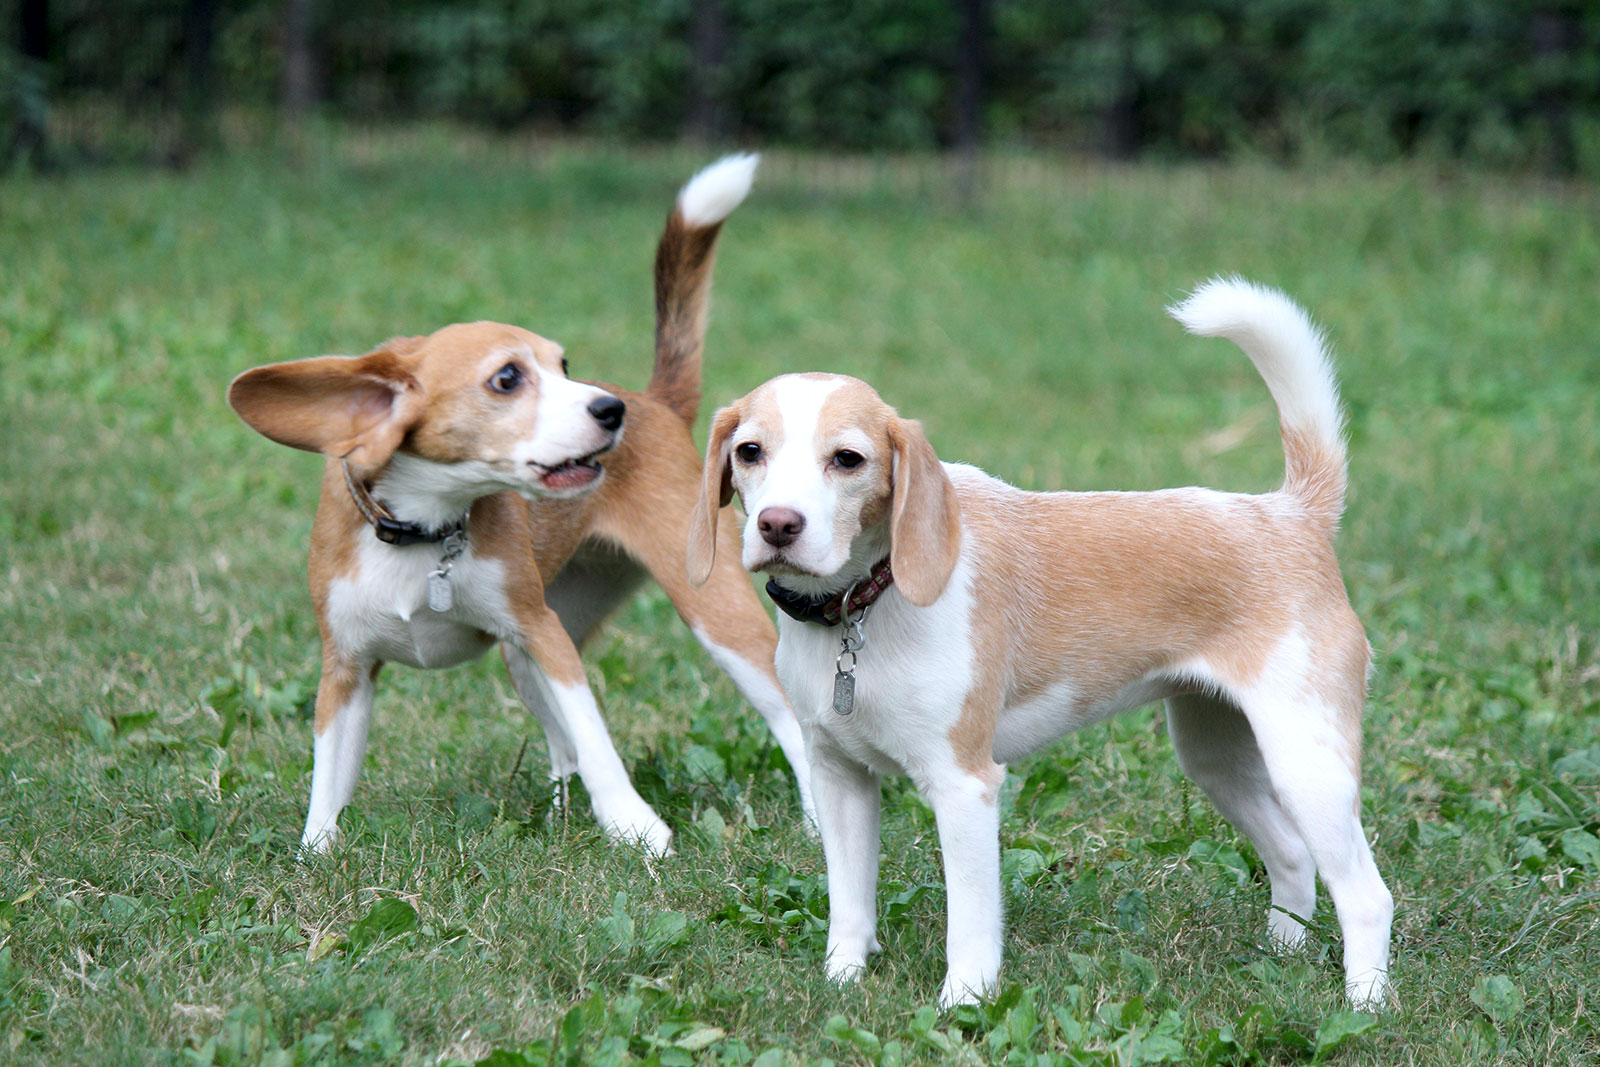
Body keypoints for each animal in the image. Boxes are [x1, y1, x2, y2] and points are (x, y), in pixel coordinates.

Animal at [228, 156, 812, 857]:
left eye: (564, 364)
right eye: (507, 378)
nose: (609, 410)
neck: (425, 526)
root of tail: (657, 401)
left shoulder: (544, 635)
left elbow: (595, 737)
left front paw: (636, 825)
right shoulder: (345, 670)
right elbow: (328, 779)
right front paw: (316, 852)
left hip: (713, 613)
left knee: (789, 719)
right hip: (530, 649)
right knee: (562, 749)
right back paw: (560, 817)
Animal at [694, 278, 1395, 1011]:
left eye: (848, 459)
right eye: (749, 451)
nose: (778, 525)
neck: (863, 607)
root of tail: (1291, 513)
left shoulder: (965, 785)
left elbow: (971, 922)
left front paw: (963, 1006)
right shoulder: (838, 777)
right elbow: (850, 902)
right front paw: (842, 980)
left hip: (1307, 764)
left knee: (1367, 895)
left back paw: (1366, 1008)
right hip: (1217, 757)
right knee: (1291, 855)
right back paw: (1281, 959)